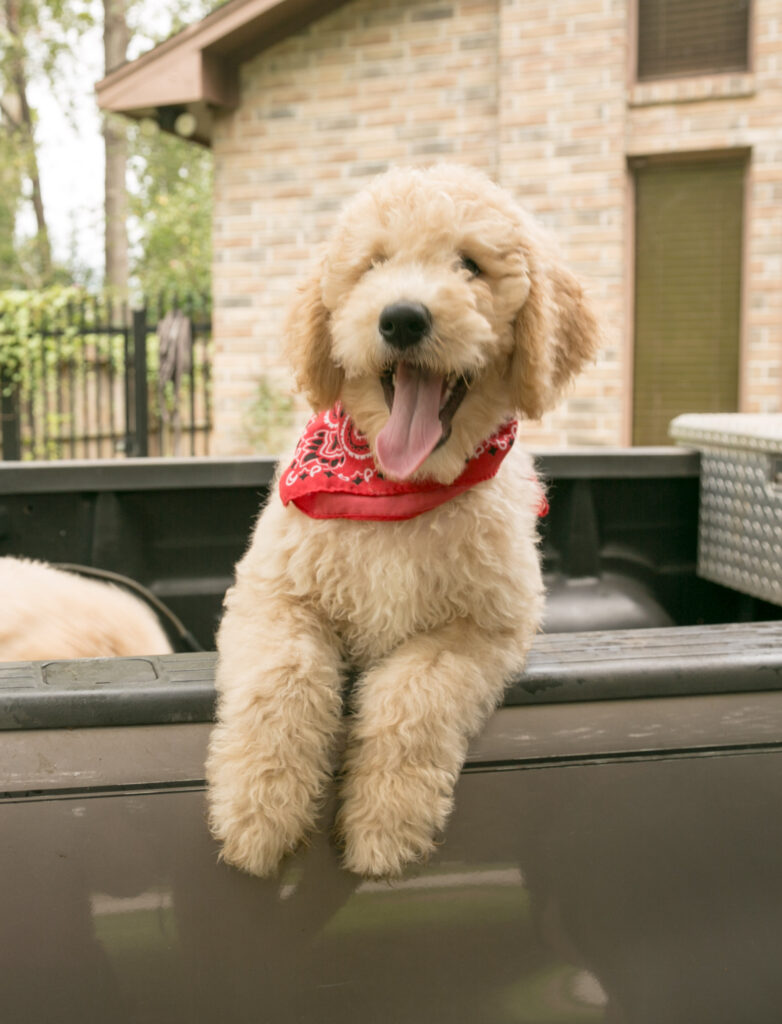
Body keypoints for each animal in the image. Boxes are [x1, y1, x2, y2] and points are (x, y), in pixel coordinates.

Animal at [205, 163, 597, 876]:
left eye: (470, 264)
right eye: (373, 265)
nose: (402, 318)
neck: (396, 487)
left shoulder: (481, 627)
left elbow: (413, 696)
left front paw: (383, 824)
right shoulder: (274, 594)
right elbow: (283, 680)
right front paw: (259, 810)